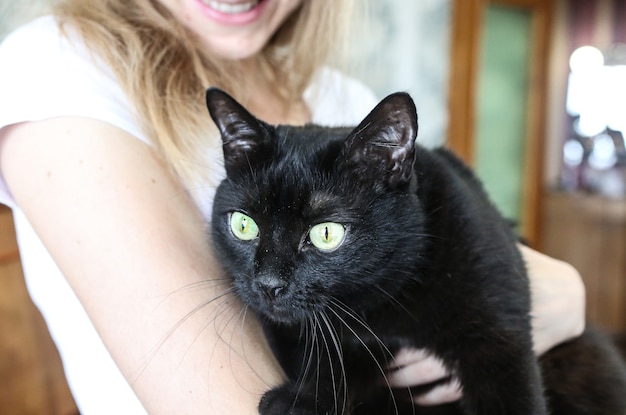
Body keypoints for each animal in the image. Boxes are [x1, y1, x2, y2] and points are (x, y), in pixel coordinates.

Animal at [205, 88, 624, 415]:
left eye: (326, 233)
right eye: (244, 225)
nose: (268, 284)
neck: (388, 305)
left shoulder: (498, 340)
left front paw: (298, 401)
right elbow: (334, 359)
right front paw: (306, 398)